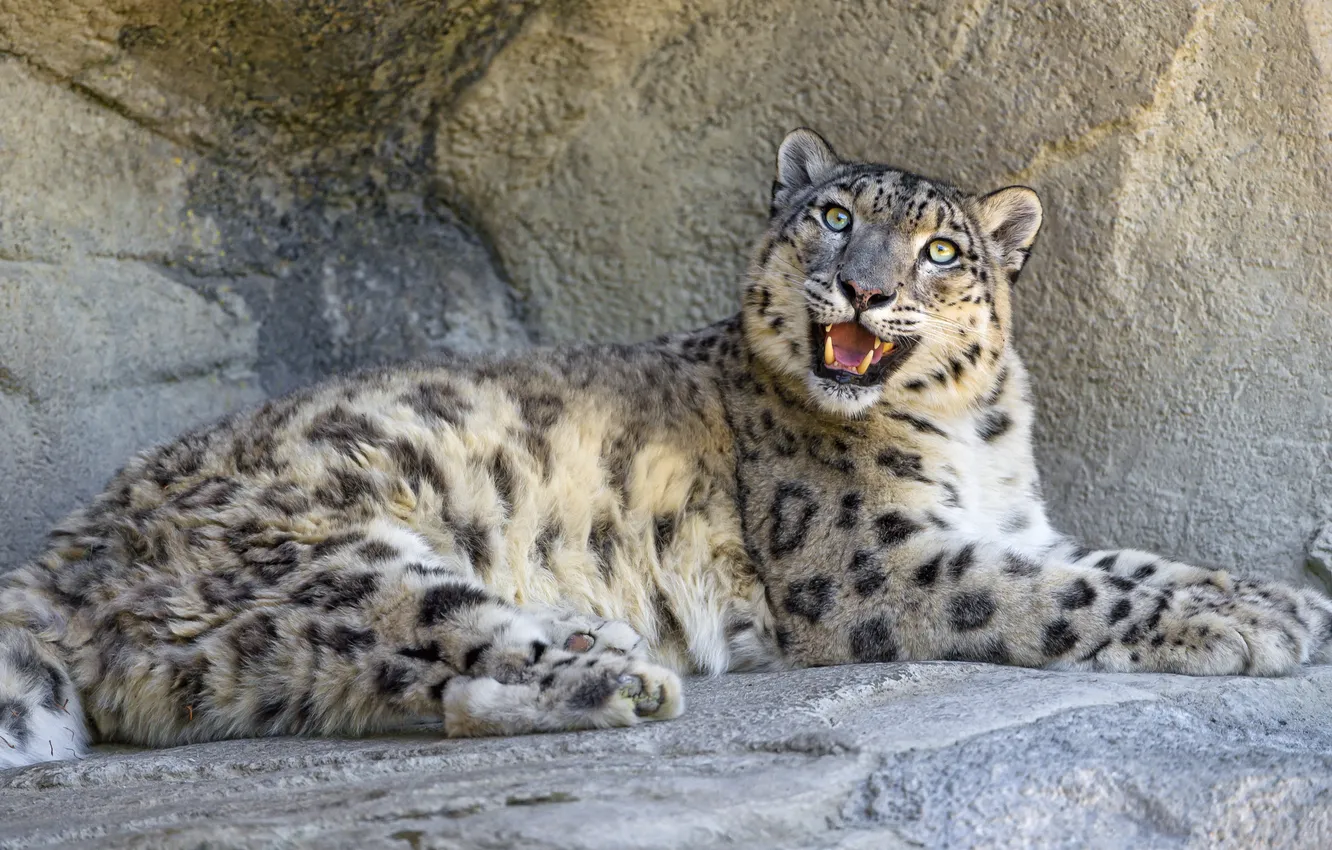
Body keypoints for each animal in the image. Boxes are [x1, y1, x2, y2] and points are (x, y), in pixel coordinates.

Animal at [2, 127, 1332, 772]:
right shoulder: (879, 566)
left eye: (943, 249)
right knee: (443, 649)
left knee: (404, 690)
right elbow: (1063, 591)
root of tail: (68, 546)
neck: (979, 437)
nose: (861, 287)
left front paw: (1271, 596)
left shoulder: (1012, 521)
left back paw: (606, 659)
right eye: (832, 216)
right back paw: (615, 670)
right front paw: (1248, 624)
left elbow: (1121, 560)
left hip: (281, 644)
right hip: (338, 556)